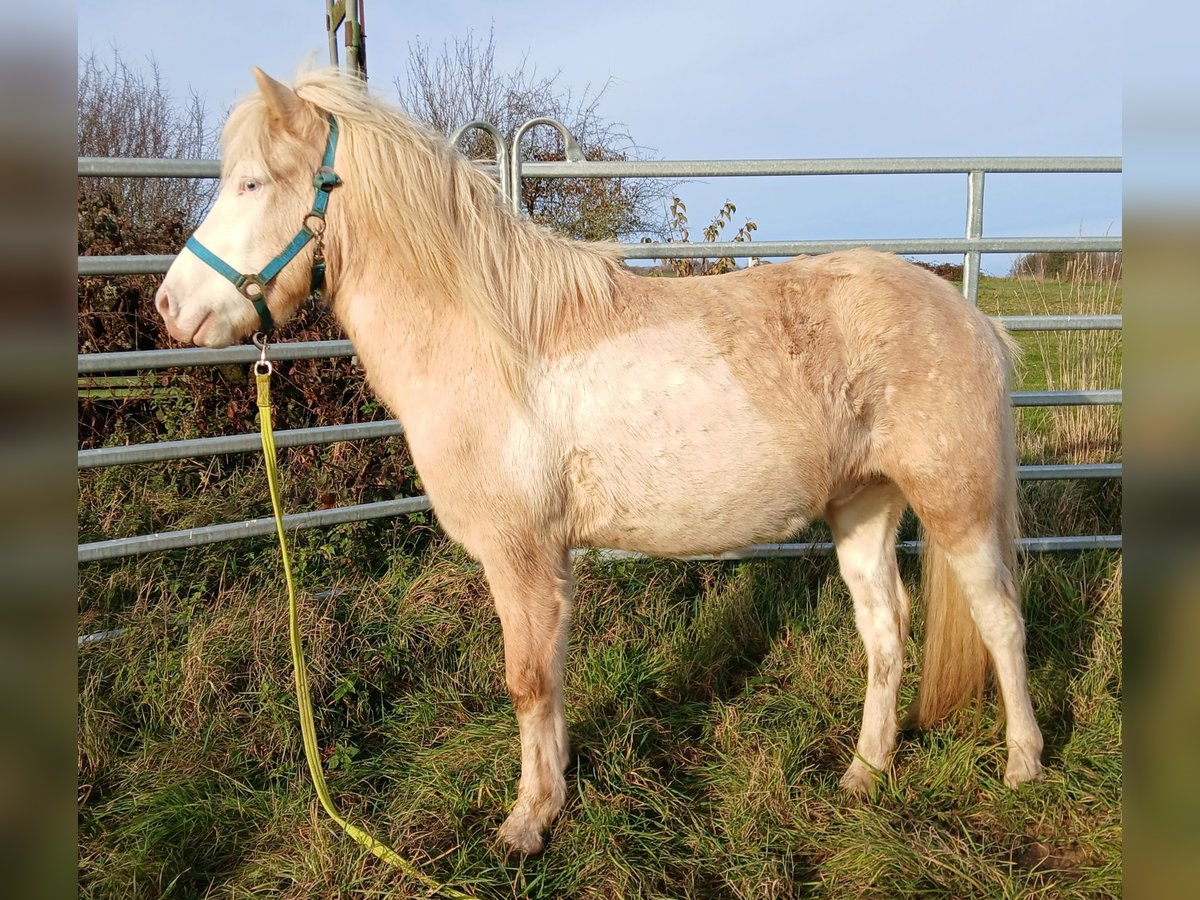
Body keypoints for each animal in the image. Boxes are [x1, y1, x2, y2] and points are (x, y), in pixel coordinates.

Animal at [155, 67, 1044, 857]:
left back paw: (1024, 766)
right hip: (863, 505)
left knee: (1001, 619)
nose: (171, 306)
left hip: (957, 504)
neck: (494, 342)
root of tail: (971, 318)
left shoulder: (521, 558)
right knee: (886, 632)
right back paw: (864, 770)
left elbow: (527, 681)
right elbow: (548, 684)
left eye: (252, 183)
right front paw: (550, 795)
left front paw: (527, 822)